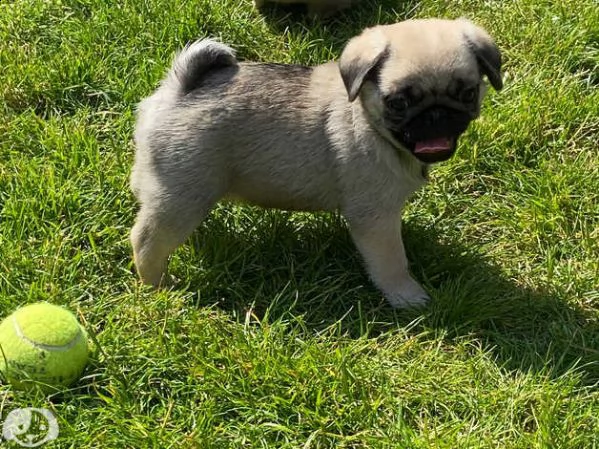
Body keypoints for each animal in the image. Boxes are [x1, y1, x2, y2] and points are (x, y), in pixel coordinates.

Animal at [130, 20, 502, 308]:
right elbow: (392, 260)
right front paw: (406, 296)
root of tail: (179, 90)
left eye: (468, 94)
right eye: (398, 103)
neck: (369, 121)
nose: (437, 115)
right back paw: (159, 286)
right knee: (147, 239)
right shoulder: (374, 218)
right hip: (183, 195)